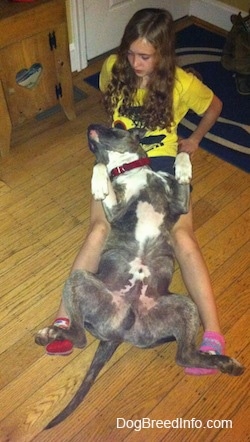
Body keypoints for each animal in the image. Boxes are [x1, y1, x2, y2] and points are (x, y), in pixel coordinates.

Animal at [35, 124, 244, 428]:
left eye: (115, 127)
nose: (90, 127)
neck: (130, 170)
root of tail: (119, 332)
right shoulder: (116, 209)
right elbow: (99, 166)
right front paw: (99, 181)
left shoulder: (179, 203)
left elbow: (181, 156)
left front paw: (182, 164)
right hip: (79, 278)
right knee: (81, 338)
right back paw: (51, 332)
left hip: (186, 307)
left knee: (184, 356)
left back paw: (228, 364)